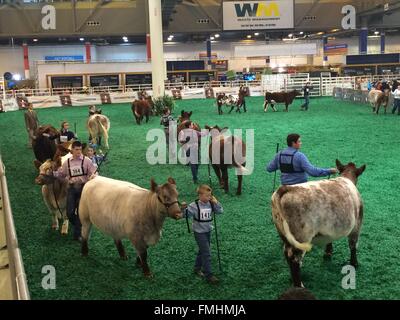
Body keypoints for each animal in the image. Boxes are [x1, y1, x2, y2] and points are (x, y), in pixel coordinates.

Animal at [272, 160, 366, 288]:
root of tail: (284, 189)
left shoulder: (331, 227)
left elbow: (330, 239)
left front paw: (328, 253)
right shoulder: (357, 225)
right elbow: (353, 245)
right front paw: (354, 263)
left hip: (285, 236)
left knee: (287, 254)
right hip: (301, 238)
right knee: (294, 259)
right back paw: (299, 285)